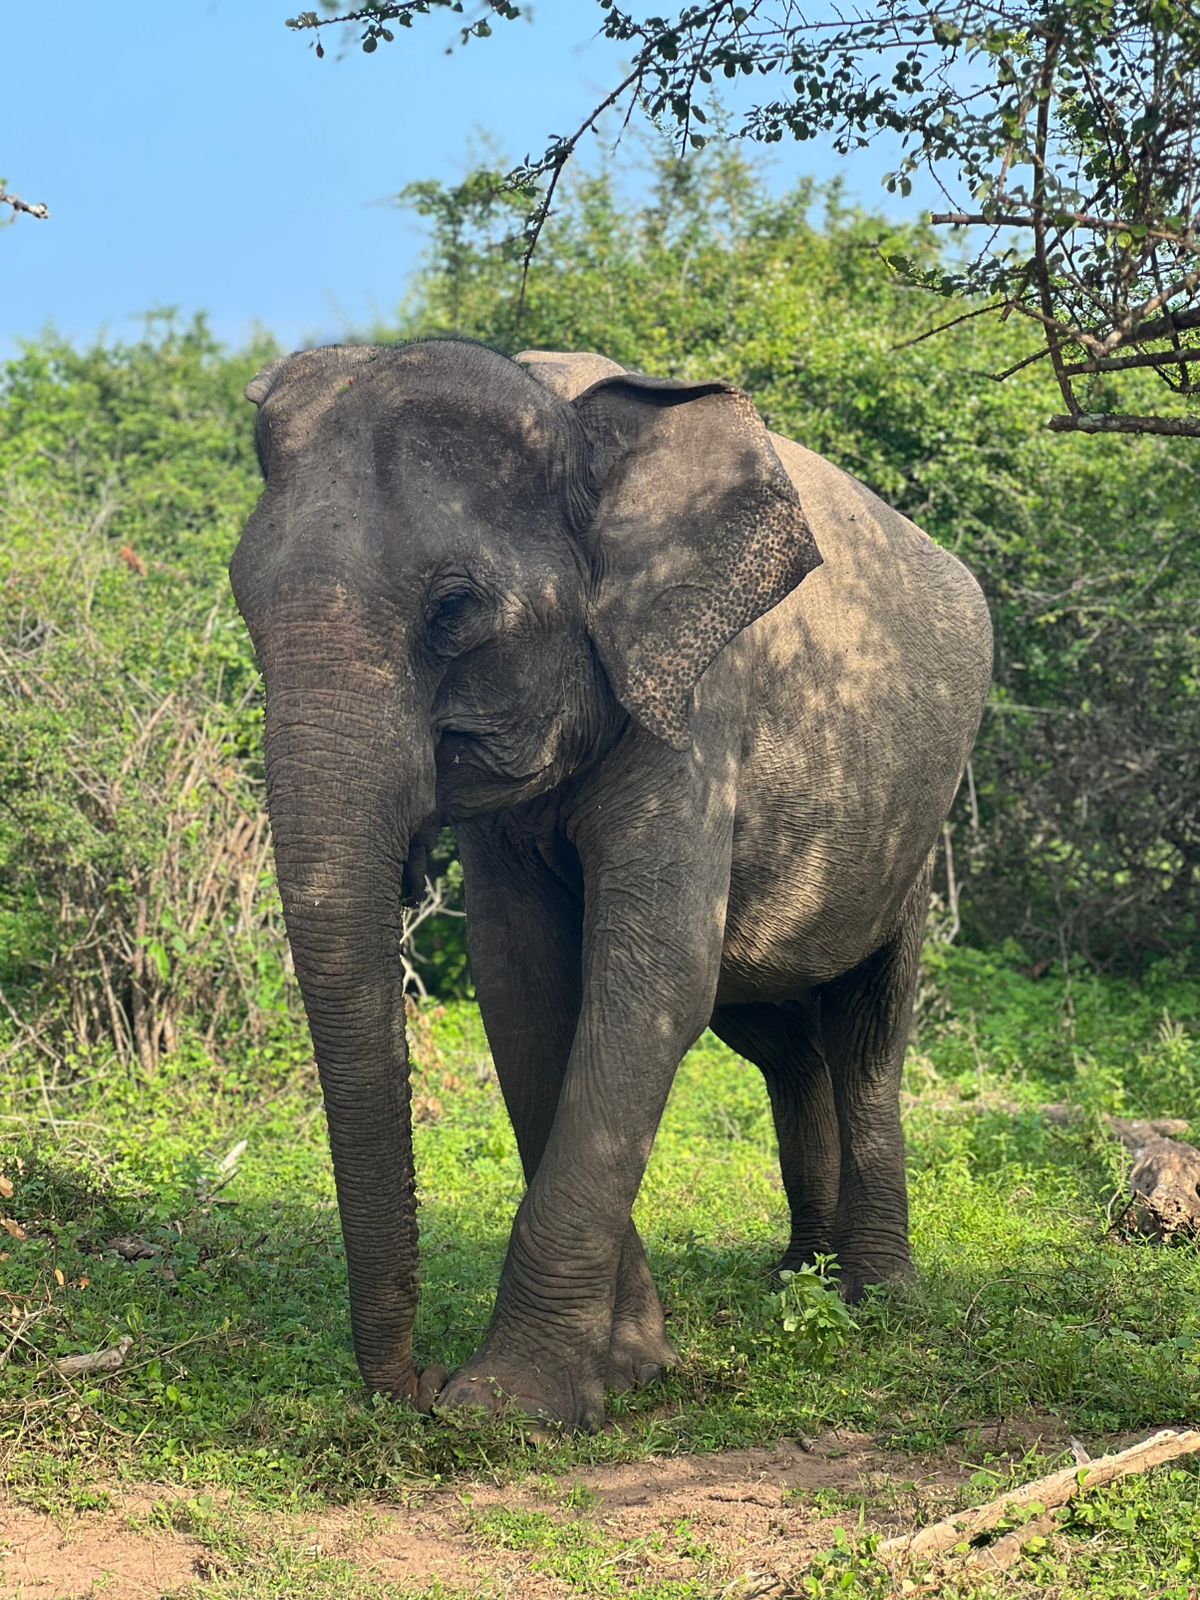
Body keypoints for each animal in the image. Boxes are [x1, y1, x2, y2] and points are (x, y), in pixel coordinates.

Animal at [230, 337, 992, 1431]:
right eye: (243, 599)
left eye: (454, 609)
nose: (414, 1384)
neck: (566, 412)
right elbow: (527, 989)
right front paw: (628, 1368)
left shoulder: (700, 696)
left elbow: (649, 976)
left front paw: (505, 1405)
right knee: (779, 1044)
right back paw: (796, 1278)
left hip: (913, 834)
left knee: (865, 1038)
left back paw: (877, 1301)